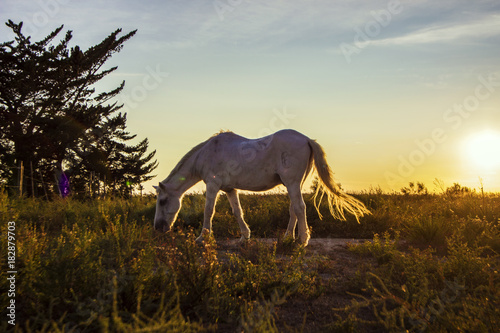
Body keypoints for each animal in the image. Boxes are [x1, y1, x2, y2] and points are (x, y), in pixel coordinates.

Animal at [154, 128, 370, 245]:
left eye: (163, 201)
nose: (158, 228)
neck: (208, 153)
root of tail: (308, 140)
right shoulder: (230, 189)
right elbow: (237, 211)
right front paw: (244, 237)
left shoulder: (213, 186)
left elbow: (209, 211)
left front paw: (202, 238)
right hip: (294, 184)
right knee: (294, 209)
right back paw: (287, 238)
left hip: (292, 183)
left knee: (300, 208)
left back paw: (302, 240)